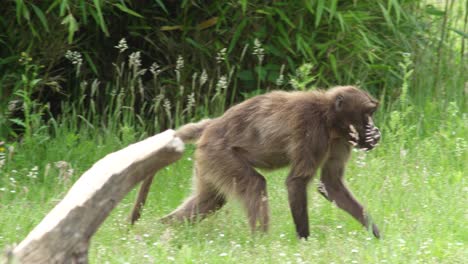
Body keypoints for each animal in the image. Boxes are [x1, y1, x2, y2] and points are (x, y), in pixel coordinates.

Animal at [130, 85, 382, 238]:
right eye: (367, 114)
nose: (375, 132)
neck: (328, 116)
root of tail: (211, 125)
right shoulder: (312, 131)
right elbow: (296, 182)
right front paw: (304, 242)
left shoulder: (342, 138)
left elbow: (331, 184)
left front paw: (377, 235)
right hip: (219, 153)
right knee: (254, 185)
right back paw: (260, 244)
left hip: (208, 160)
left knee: (210, 200)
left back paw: (160, 230)